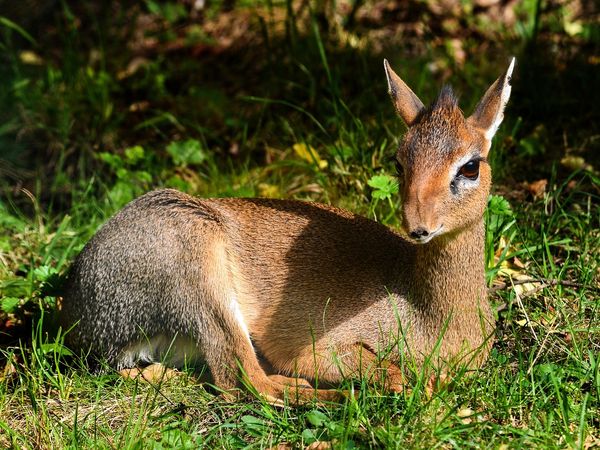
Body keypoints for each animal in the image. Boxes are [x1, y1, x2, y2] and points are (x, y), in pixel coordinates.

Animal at [61, 57, 515, 403]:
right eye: (399, 161)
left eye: (470, 166)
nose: (418, 226)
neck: (433, 317)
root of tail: (82, 313)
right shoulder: (315, 348)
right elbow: (391, 373)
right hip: (202, 278)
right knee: (245, 384)